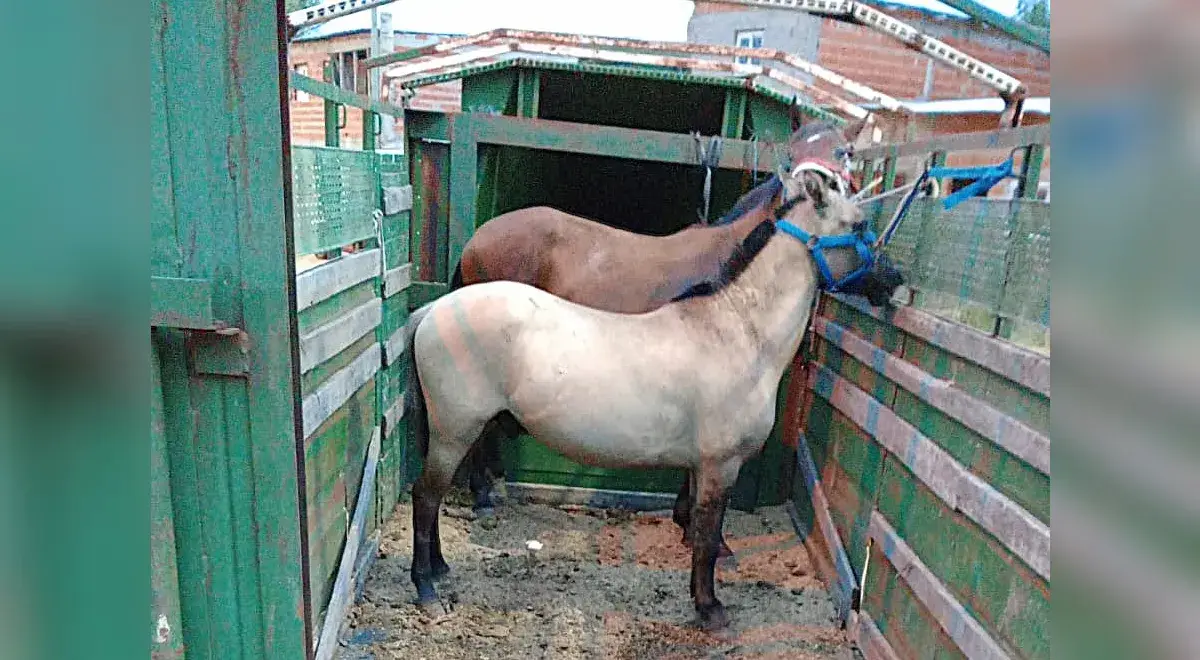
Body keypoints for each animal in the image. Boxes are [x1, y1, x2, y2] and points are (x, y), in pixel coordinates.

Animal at [401, 157, 902, 631]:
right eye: (859, 225)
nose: (894, 281)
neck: (739, 332)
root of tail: (433, 310)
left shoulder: (701, 466)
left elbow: (699, 528)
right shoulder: (721, 465)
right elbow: (706, 536)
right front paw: (710, 609)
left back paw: (441, 567)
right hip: (454, 431)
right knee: (426, 496)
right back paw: (426, 589)